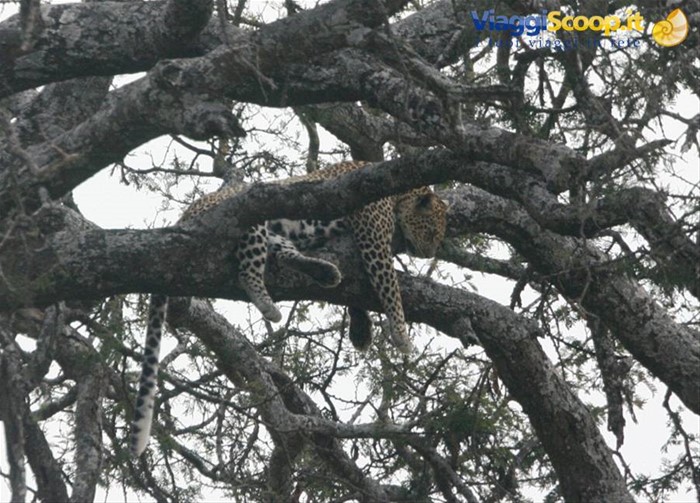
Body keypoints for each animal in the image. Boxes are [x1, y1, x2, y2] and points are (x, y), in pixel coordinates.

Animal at [130, 160, 448, 456]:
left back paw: (324, 272)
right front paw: (401, 335)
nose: (428, 253)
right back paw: (269, 305)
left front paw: (360, 331)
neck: (400, 194)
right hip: (249, 215)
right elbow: (389, 287)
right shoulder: (374, 238)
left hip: (276, 234)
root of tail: (183, 217)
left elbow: (356, 289)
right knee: (248, 270)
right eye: (432, 231)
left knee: (284, 255)